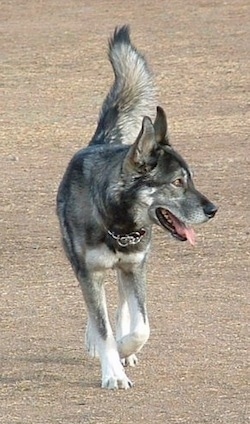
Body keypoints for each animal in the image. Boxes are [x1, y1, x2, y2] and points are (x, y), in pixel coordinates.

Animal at [56, 26, 217, 390]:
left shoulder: (135, 267)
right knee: (99, 308)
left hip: (127, 269)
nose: (213, 210)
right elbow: (101, 325)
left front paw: (123, 350)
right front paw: (112, 369)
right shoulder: (88, 271)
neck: (117, 222)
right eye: (177, 182)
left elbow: (141, 325)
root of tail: (102, 141)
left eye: (191, 179)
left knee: (121, 307)